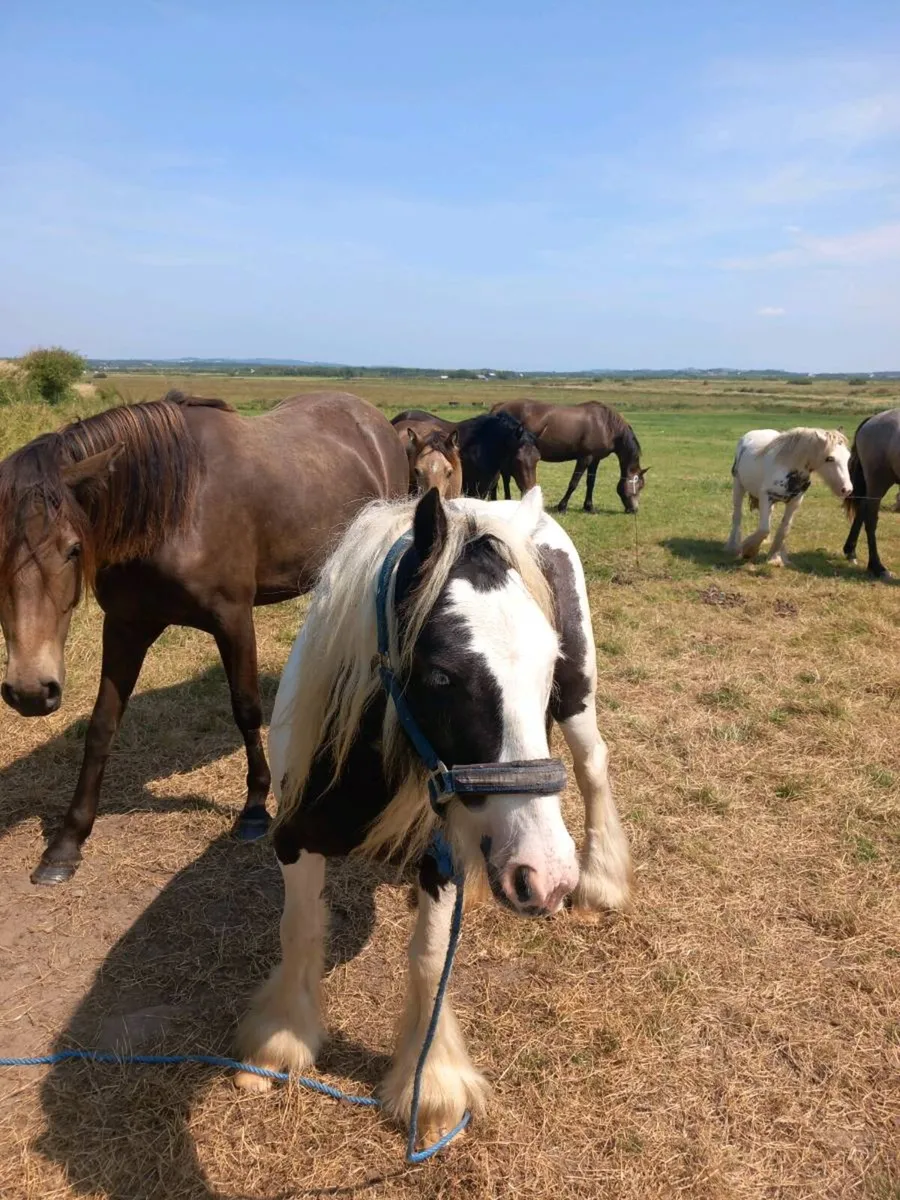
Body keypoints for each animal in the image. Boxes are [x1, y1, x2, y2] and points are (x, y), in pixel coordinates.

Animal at [0, 391, 409, 885]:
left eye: (73, 548)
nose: (29, 690)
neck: (172, 510)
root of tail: (372, 418)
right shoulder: (124, 626)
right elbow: (101, 726)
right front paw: (66, 842)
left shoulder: (232, 619)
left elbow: (246, 709)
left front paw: (254, 809)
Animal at [234, 486, 631, 1144]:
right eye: (442, 673)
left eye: (546, 664)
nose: (547, 878)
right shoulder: (294, 838)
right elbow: (300, 928)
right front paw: (280, 1042)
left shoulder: (440, 855)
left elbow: (427, 956)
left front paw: (432, 1086)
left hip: (580, 699)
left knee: (593, 765)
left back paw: (600, 882)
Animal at [491, 399, 647, 513]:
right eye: (639, 486)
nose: (634, 510)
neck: (605, 425)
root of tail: (499, 407)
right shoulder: (585, 458)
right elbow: (573, 483)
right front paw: (562, 506)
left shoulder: (595, 459)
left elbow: (591, 482)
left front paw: (589, 507)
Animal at [725, 427, 852, 566]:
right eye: (830, 458)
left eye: (848, 457)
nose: (847, 489)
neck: (788, 468)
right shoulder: (766, 496)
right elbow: (764, 529)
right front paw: (749, 551)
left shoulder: (794, 502)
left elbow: (783, 529)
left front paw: (774, 557)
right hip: (738, 485)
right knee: (737, 515)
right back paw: (733, 546)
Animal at [842, 409, 900, 580]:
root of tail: (874, 418)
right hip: (878, 481)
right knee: (870, 520)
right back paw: (877, 567)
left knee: (862, 508)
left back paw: (851, 551)